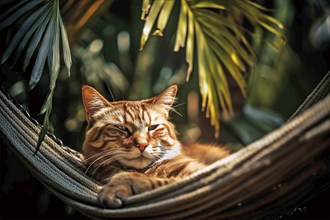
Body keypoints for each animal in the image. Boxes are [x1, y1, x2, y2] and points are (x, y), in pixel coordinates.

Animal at [82, 84, 229, 208]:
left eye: (153, 127)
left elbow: (152, 180)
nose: (142, 145)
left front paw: (118, 185)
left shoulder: (200, 174)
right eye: (122, 128)